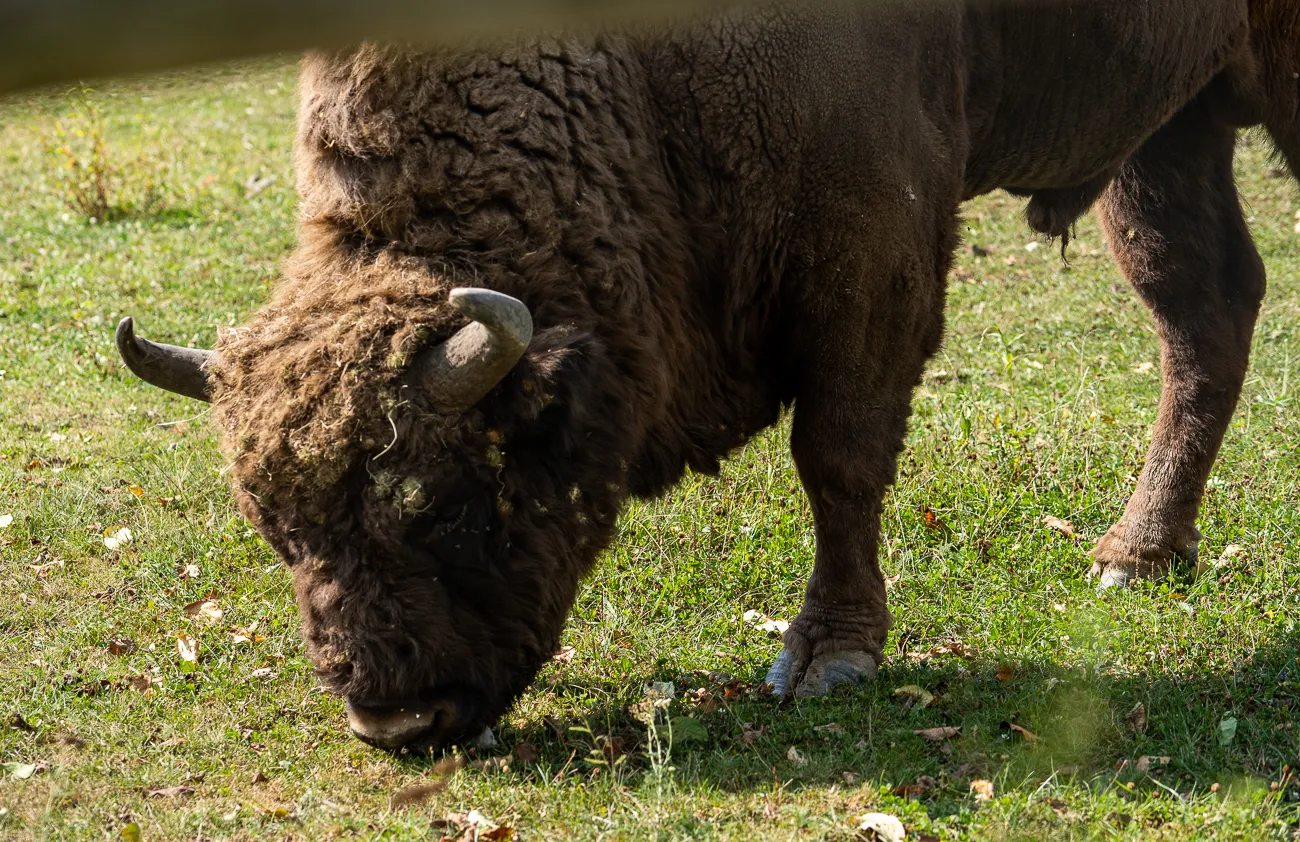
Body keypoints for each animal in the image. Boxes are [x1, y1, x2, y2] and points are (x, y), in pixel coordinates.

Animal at [116, 0, 1299, 751]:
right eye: (277, 531)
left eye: (442, 500)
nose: (394, 720)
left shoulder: (868, 249)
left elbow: (838, 458)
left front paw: (827, 656)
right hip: (1170, 122)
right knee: (1203, 310)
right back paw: (1136, 556)